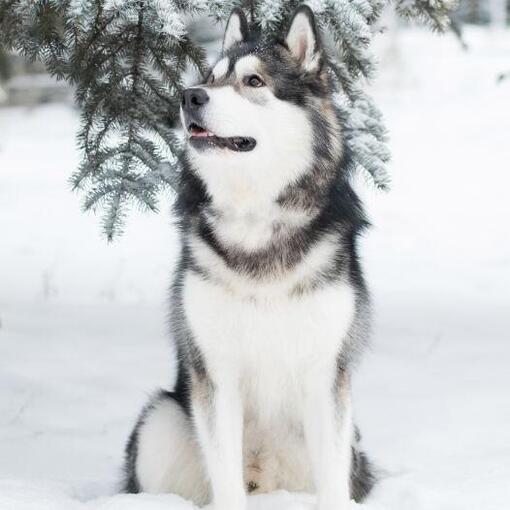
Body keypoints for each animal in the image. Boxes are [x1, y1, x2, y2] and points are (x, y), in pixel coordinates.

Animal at [123, 4, 376, 510]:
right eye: (211, 77)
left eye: (253, 81)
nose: (189, 96)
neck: (256, 219)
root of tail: (265, 475)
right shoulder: (215, 373)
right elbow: (225, 475)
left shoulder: (324, 373)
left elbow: (333, 484)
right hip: (159, 421)